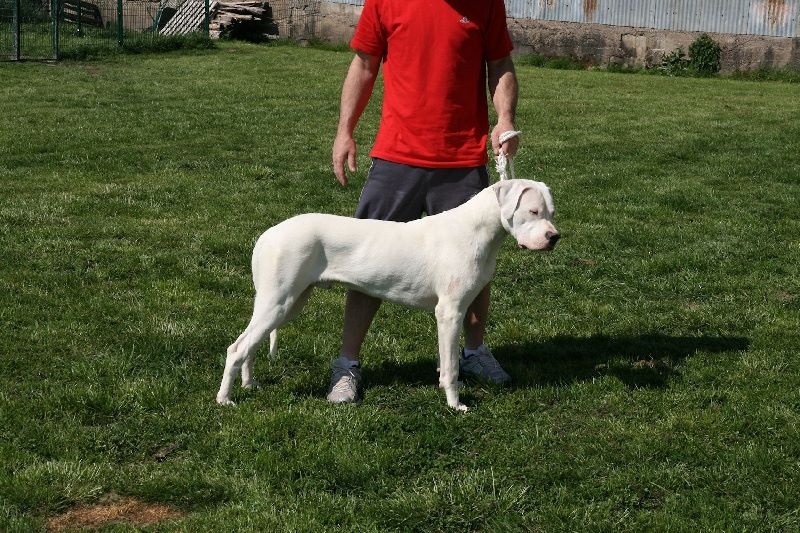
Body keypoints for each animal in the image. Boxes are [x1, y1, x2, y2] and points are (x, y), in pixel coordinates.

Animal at [216, 179, 559, 411]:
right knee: (237, 348)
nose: (554, 237)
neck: (476, 230)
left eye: (551, 212)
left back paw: (249, 384)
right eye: (532, 211)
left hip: (288, 303)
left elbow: (446, 360)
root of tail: (268, 234)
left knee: (250, 345)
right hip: (278, 302)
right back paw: (224, 399)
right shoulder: (450, 312)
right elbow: (450, 366)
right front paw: (455, 404)